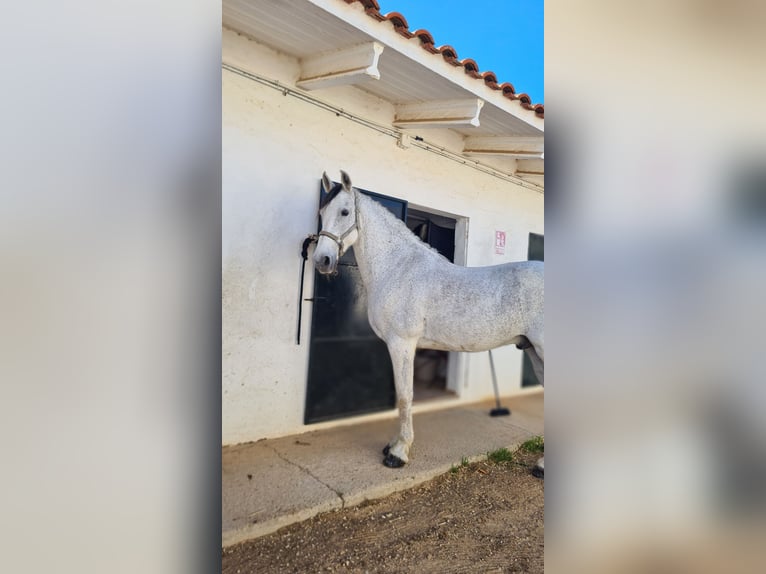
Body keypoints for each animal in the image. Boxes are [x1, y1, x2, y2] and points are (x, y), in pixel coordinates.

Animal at [314, 172, 544, 472]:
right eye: (322, 212)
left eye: (344, 211)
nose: (322, 260)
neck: (398, 268)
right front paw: (393, 445)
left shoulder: (402, 344)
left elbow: (404, 396)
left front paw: (398, 452)